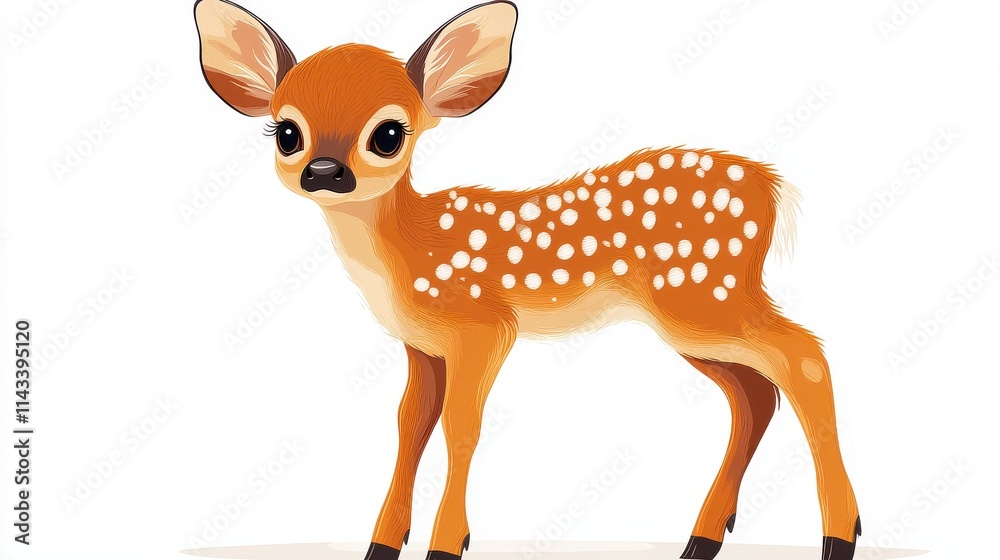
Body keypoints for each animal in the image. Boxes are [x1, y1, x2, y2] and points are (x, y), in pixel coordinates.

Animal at [194, 1, 861, 559]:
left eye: (388, 133)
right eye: (287, 131)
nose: (325, 171)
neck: (410, 251)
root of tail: (772, 186)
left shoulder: (485, 327)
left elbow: (462, 428)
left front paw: (448, 544)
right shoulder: (421, 346)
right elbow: (410, 427)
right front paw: (381, 545)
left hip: (701, 297)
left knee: (803, 358)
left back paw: (841, 536)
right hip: (694, 317)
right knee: (754, 394)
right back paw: (702, 540)